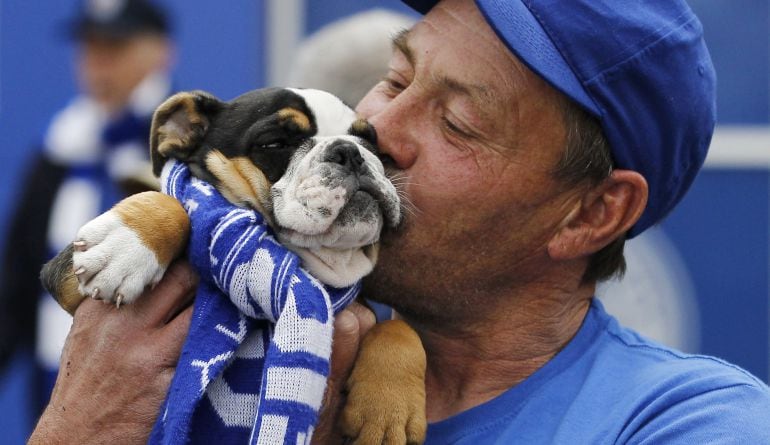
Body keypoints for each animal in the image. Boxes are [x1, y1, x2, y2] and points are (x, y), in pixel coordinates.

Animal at [40, 87, 426, 444]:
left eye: (372, 142)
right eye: (273, 143)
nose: (350, 152)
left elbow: (398, 327)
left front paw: (389, 409)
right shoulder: (67, 279)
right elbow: (175, 205)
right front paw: (126, 244)